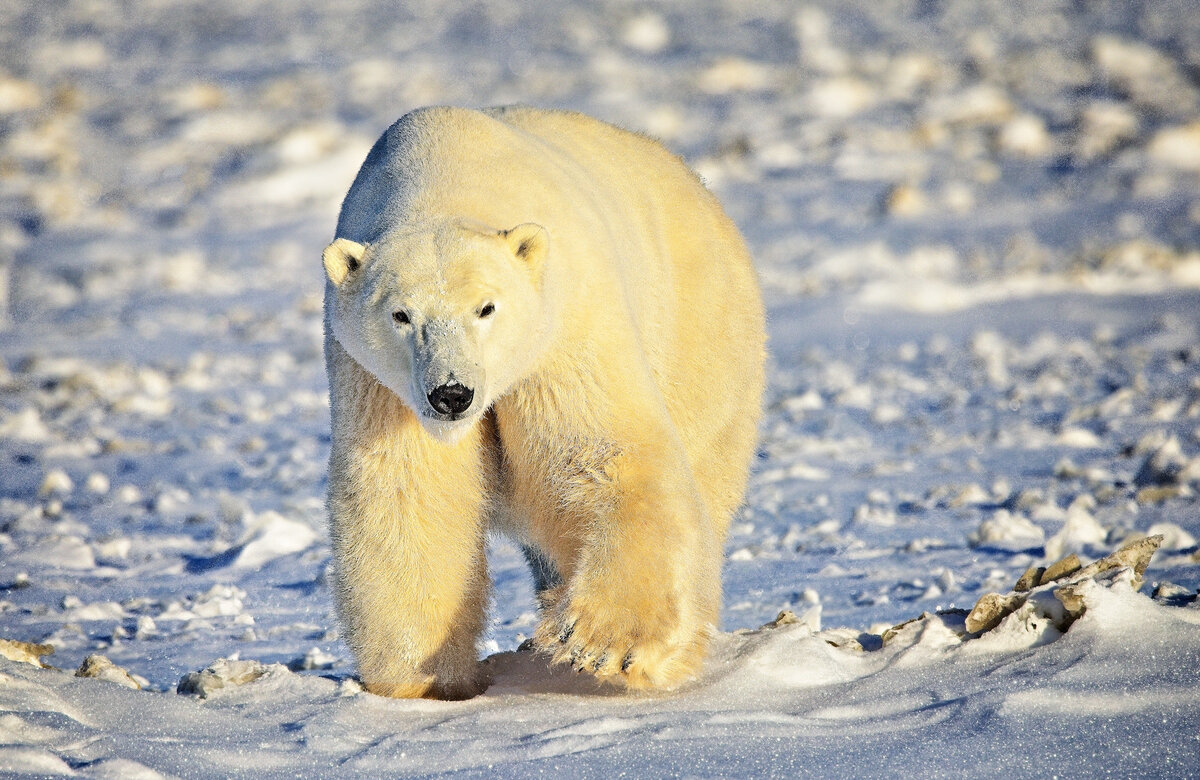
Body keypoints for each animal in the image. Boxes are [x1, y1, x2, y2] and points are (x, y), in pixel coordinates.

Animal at [324, 105, 763, 700]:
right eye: (401, 315)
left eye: (486, 308)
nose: (452, 394)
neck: (443, 177)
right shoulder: (377, 381)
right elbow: (408, 488)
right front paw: (425, 677)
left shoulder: (564, 324)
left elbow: (599, 450)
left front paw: (605, 643)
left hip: (701, 335)